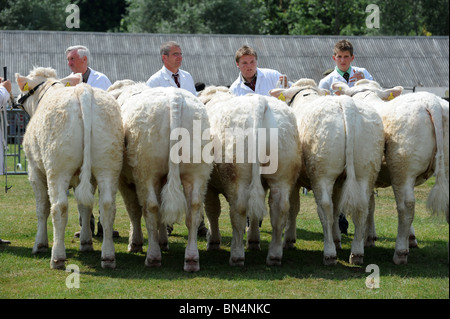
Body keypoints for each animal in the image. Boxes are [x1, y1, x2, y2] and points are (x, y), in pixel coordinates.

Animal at [15, 67, 123, 270]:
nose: (17, 99)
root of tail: (83, 90)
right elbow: (84, 207)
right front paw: (86, 242)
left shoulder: (34, 170)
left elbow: (42, 208)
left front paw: (39, 244)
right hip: (108, 165)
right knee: (107, 206)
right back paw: (108, 256)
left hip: (57, 168)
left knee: (59, 207)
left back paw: (57, 257)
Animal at [107, 82, 213, 272]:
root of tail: (174, 98)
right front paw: (163, 240)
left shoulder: (124, 181)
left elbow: (134, 210)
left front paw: (135, 243)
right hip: (197, 172)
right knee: (193, 210)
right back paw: (191, 259)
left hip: (146, 171)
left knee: (151, 208)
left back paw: (153, 256)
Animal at [198, 87, 300, 268]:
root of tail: (259, 102)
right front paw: (253, 240)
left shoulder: (209, 185)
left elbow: (212, 210)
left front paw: (213, 241)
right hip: (282, 177)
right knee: (279, 209)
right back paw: (274, 255)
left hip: (237, 177)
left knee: (239, 210)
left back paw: (237, 255)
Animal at [268, 79, 384, 264]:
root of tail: (346, 104)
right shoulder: (340, 182)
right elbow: (337, 208)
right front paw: (337, 240)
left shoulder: (293, 179)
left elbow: (294, 207)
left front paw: (289, 240)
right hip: (365, 170)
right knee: (361, 207)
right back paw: (356, 253)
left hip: (322, 173)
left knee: (325, 207)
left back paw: (329, 253)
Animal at [332, 80, 448, 264]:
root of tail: (432, 102)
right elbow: (370, 205)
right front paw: (410, 238)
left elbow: (368, 205)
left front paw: (367, 238)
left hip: (402, 167)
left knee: (406, 206)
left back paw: (400, 252)